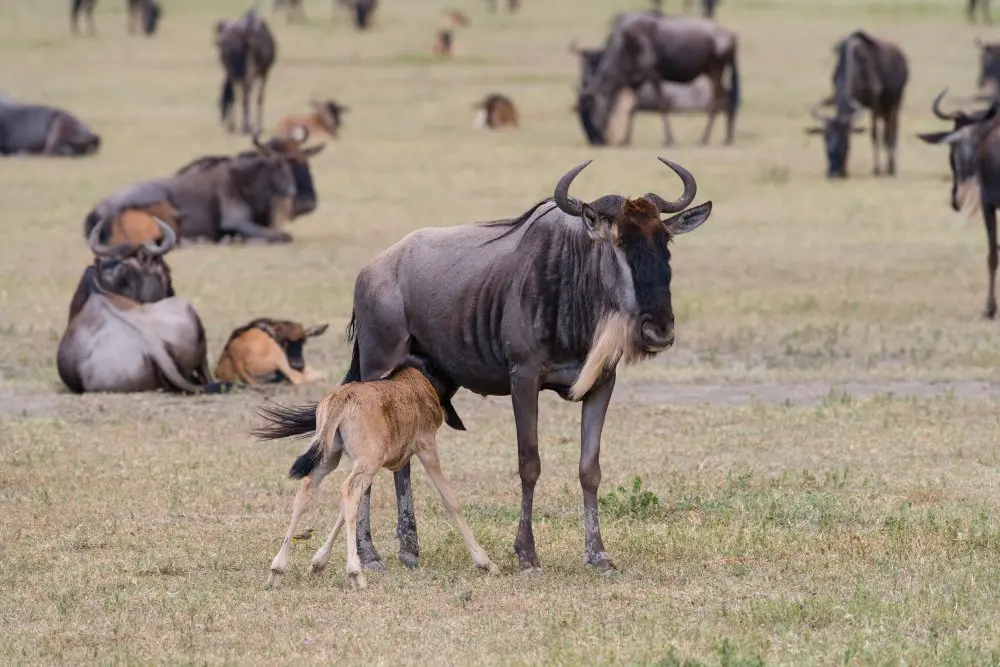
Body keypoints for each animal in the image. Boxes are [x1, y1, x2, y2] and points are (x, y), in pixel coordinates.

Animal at [83, 135, 298, 245]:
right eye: (280, 165)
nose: (293, 191)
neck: (243, 182)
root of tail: (97, 210)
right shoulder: (237, 221)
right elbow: (281, 236)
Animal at [334, 157, 712, 573]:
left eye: (665, 242)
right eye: (618, 243)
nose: (658, 330)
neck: (574, 287)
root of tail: (370, 271)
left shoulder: (602, 382)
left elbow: (589, 468)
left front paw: (598, 555)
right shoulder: (524, 378)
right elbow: (529, 463)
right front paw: (527, 554)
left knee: (401, 458)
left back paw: (408, 550)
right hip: (377, 368)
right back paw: (370, 554)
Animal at [575, 12, 740, 147]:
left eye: (590, 108)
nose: (597, 140)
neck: (625, 50)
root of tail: (732, 35)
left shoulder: (653, 75)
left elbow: (662, 105)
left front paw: (669, 140)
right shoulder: (637, 80)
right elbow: (631, 109)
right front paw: (625, 140)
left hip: (716, 70)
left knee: (718, 101)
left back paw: (704, 139)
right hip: (711, 72)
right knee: (726, 98)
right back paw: (728, 138)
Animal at [807, 30, 909, 179]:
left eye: (846, 139)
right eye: (825, 137)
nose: (835, 173)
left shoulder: (874, 105)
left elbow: (874, 135)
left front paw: (876, 170)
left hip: (895, 104)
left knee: (891, 131)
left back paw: (891, 168)